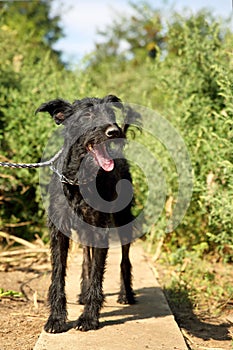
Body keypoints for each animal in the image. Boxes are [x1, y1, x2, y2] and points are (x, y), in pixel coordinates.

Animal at [36, 94, 140, 332]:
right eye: (87, 115)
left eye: (110, 113)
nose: (114, 131)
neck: (78, 179)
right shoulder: (59, 232)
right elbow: (59, 274)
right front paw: (56, 318)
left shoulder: (101, 228)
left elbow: (97, 273)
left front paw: (89, 318)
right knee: (86, 257)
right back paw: (83, 294)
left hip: (122, 218)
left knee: (124, 259)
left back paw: (126, 294)